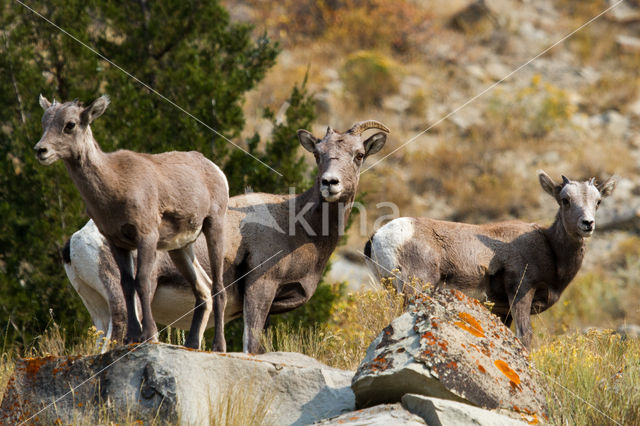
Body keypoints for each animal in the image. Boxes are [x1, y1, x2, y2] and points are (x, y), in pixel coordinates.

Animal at [35, 95, 230, 352]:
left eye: (70, 125)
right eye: (44, 122)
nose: (41, 150)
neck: (114, 185)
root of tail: (215, 170)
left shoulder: (146, 237)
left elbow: (142, 283)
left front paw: (148, 335)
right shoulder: (118, 243)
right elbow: (128, 284)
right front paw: (132, 337)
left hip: (213, 226)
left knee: (218, 287)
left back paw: (219, 346)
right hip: (179, 248)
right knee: (203, 290)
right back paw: (191, 344)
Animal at [62, 120, 388, 352]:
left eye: (359, 155)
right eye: (318, 155)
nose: (330, 183)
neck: (297, 224)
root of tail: (76, 242)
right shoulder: (260, 288)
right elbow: (251, 346)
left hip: (100, 312)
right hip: (123, 300)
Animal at [368, 171, 616, 350]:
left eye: (598, 201)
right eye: (565, 200)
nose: (587, 223)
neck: (550, 249)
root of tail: (378, 236)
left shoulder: (502, 311)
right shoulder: (521, 293)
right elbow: (524, 337)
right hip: (416, 288)